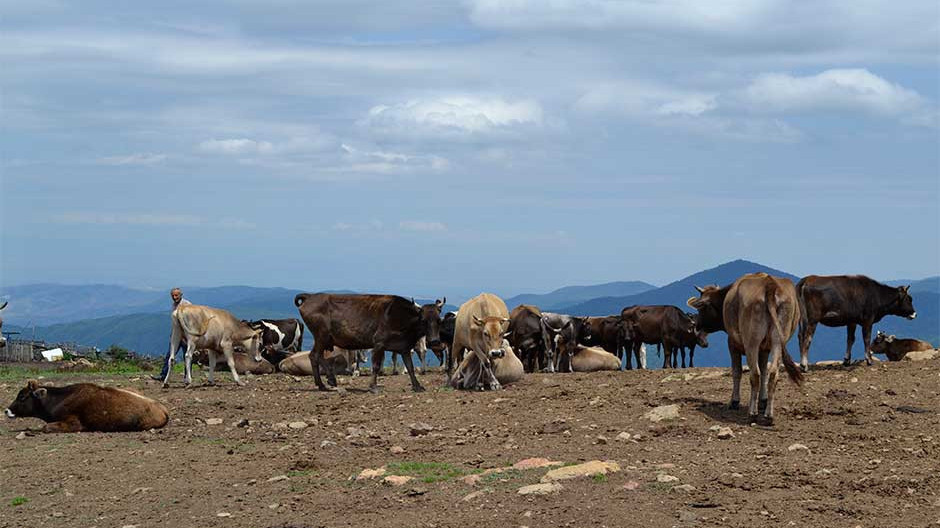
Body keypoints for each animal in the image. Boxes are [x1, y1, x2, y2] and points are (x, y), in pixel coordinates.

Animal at [294, 292, 444, 392]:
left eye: (439, 320)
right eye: (423, 320)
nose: (435, 340)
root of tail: (310, 297)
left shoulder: (404, 347)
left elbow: (411, 367)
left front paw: (417, 386)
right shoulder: (379, 344)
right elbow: (376, 366)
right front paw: (373, 387)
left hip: (322, 339)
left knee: (315, 356)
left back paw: (323, 383)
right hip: (321, 336)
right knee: (315, 355)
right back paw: (328, 381)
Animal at [688, 272, 804, 424]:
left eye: (701, 308)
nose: (696, 326)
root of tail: (770, 283)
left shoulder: (732, 343)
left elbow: (737, 371)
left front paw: (734, 401)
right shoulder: (765, 349)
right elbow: (764, 370)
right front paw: (763, 401)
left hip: (752, 342)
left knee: (755, 374)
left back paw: (752, 413)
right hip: (778, 340)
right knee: (773, 373)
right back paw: (768, 415)